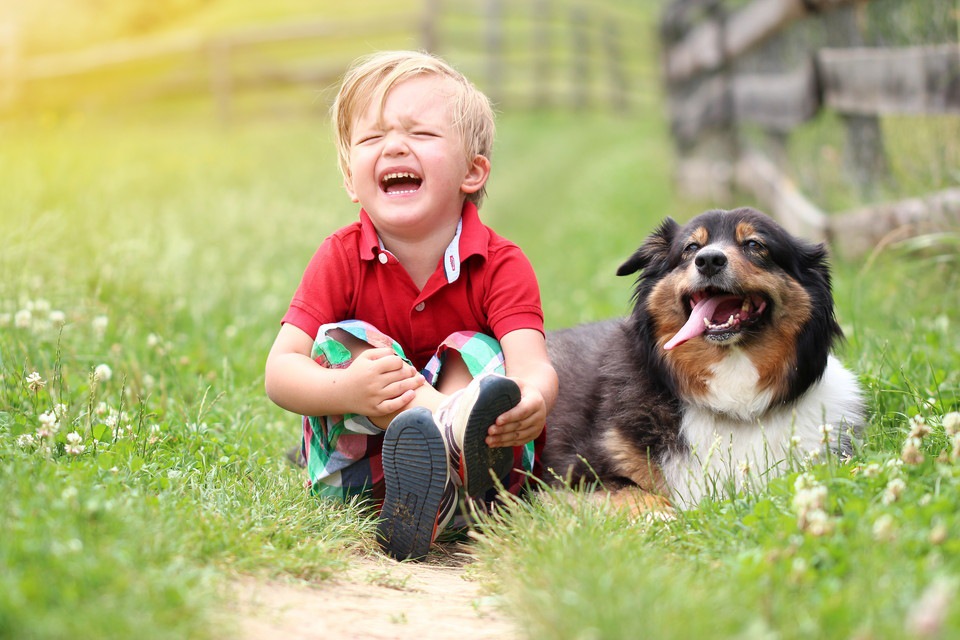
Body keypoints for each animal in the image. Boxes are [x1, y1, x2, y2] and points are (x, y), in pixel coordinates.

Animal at [544, 206, 868, 510]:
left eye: (754, 244)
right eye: (691, 248)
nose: (709, 260)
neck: (734, 399)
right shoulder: (572, 479)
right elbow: (641, 496)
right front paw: (664, 517)